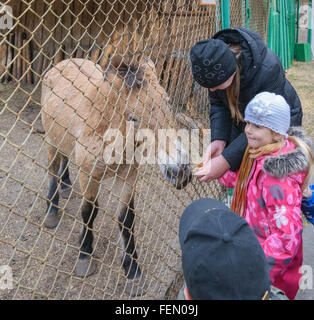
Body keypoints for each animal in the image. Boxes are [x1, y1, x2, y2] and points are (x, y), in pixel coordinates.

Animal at [40, 55, 193, 296]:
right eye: (133, 118)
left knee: (64, 161)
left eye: (168, 102)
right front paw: (85, 256)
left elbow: (126, 218)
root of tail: (61, 63)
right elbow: (89, 212)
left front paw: (132, 270)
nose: (179, 171)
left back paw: (65, 187)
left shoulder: (128, 176)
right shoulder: (89, 176)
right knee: (53, 170)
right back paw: (52, 210)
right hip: (51, 142)